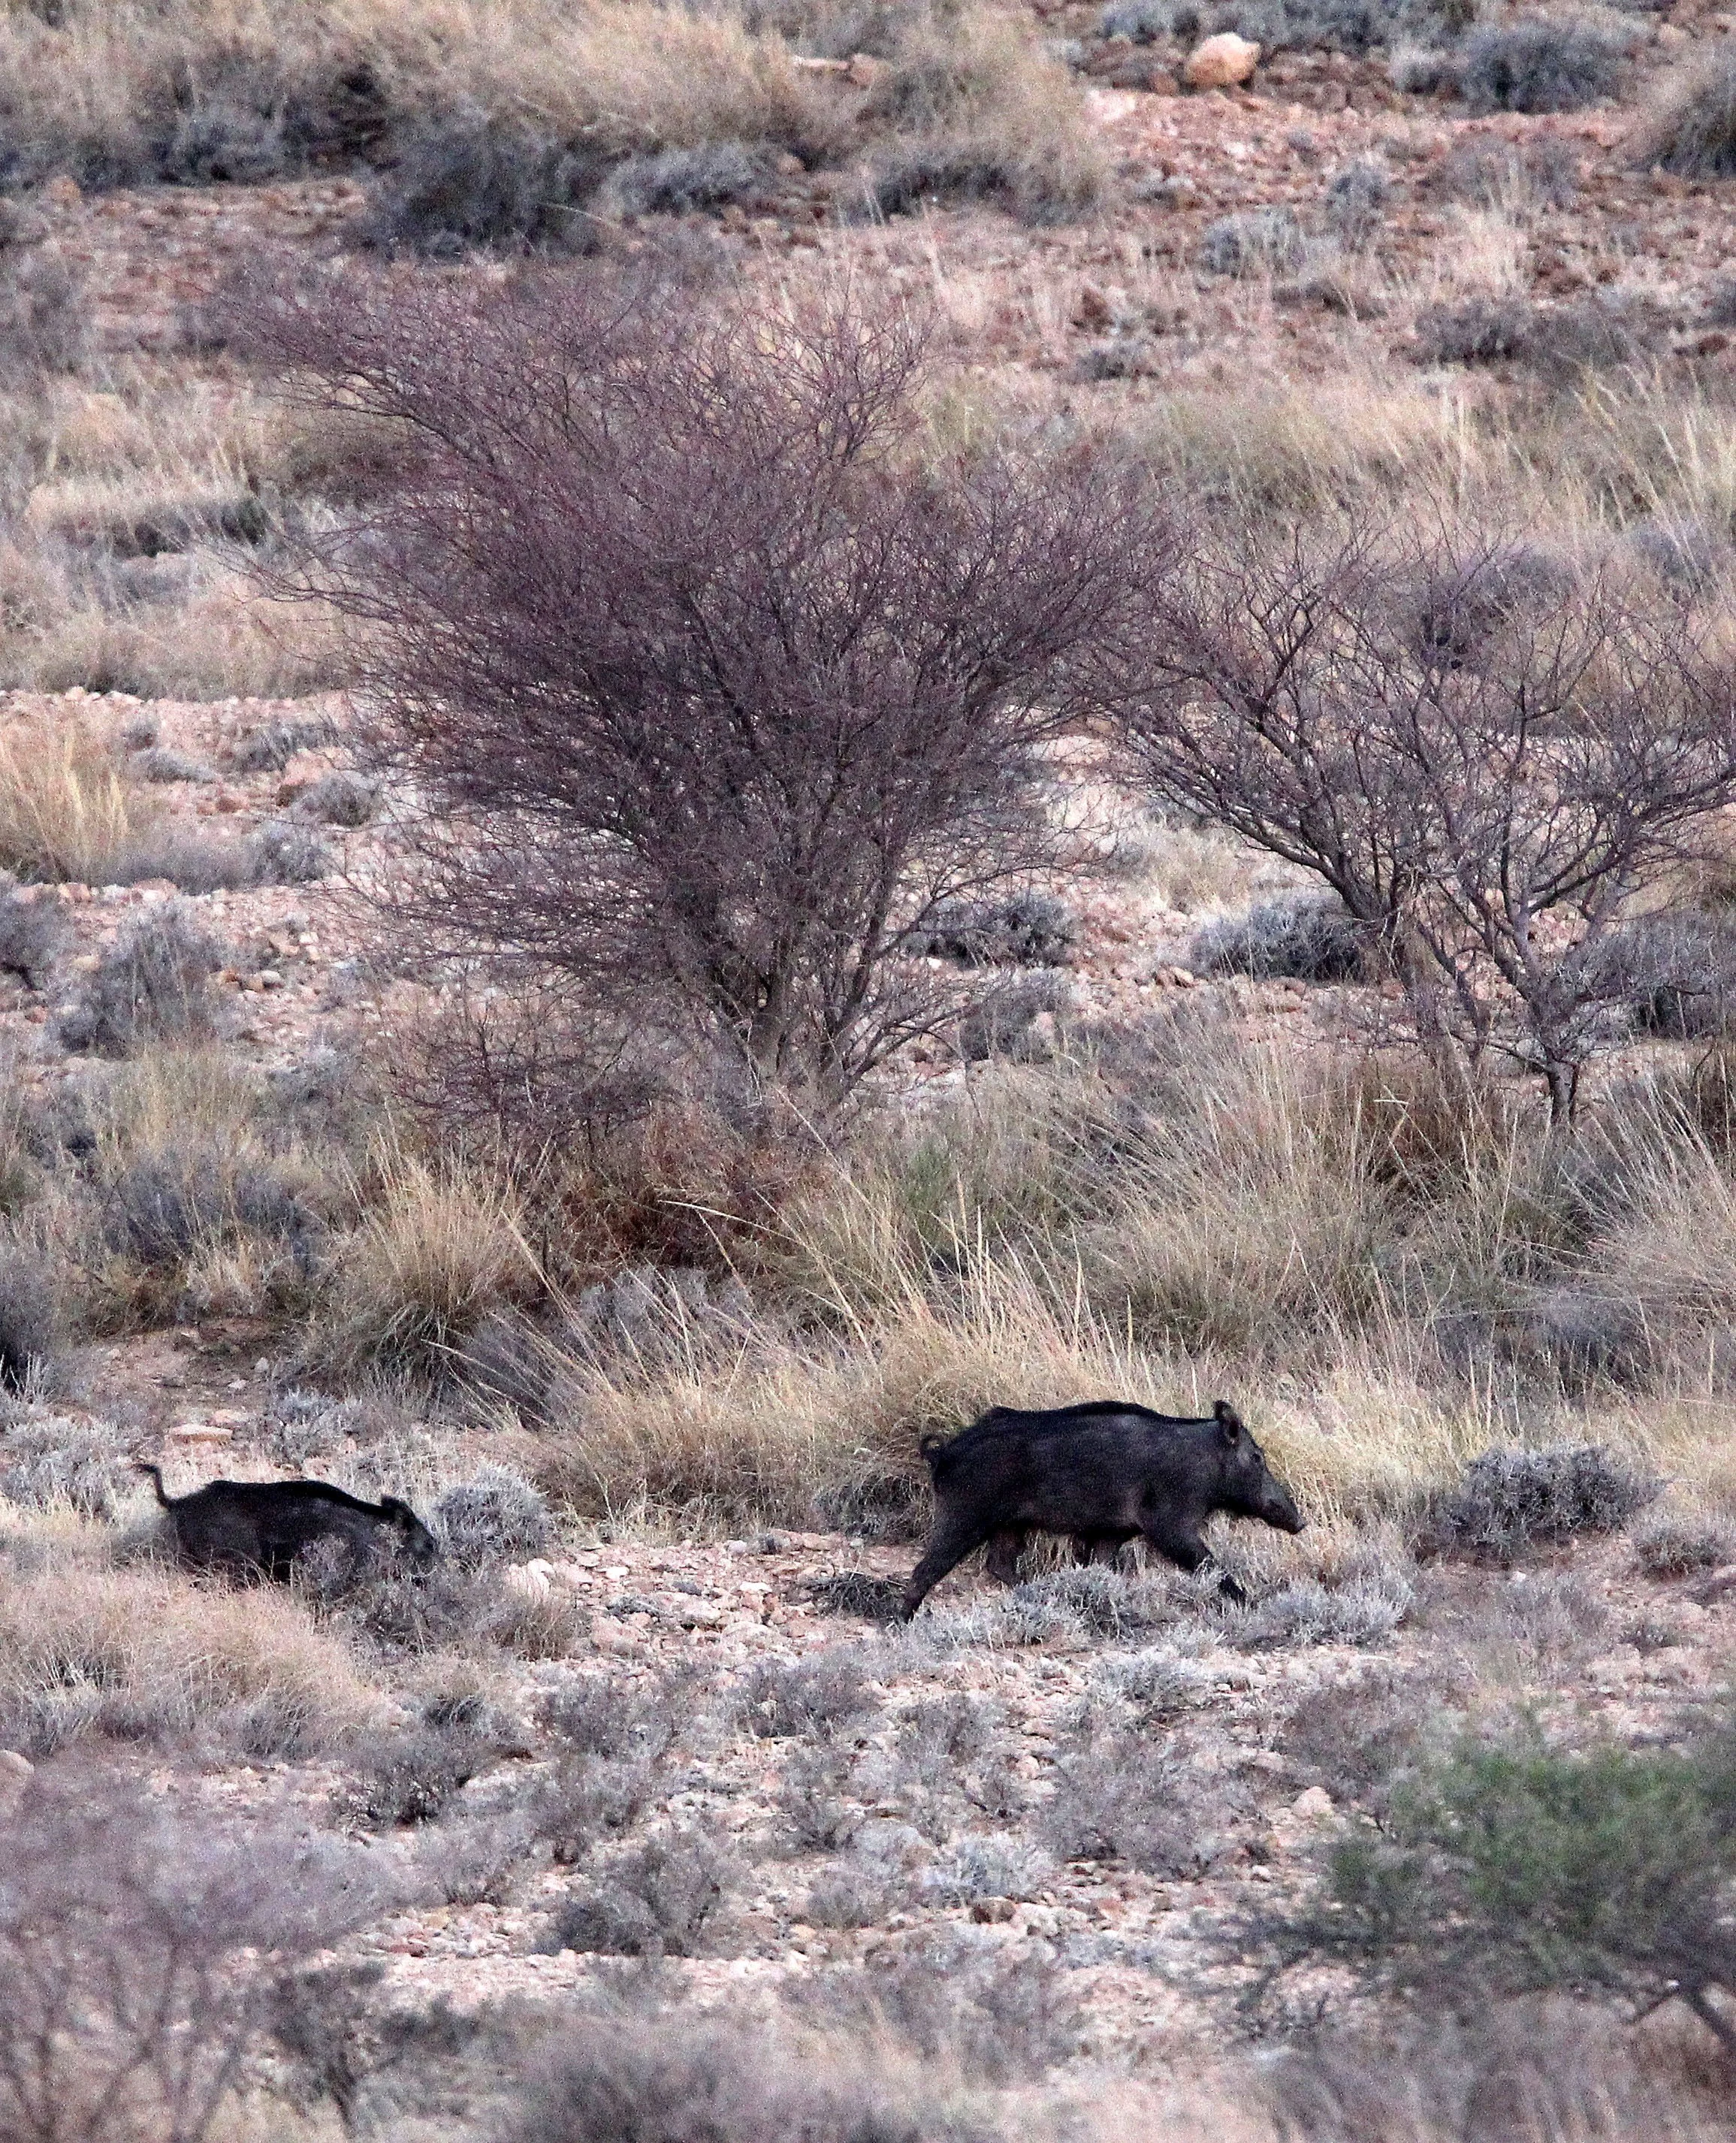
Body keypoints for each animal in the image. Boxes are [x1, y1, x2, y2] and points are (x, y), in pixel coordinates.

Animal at [904, 1398, 1303, 1617]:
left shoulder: (1112, 1532)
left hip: (1009, 1526)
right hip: (964, 1516)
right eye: (1256, 1458)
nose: (1299, 1522)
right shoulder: (1169, 1523)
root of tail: (941, 1454)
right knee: (924, 1570)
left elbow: (1102, 1568)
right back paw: (902, 1624)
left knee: (999, 1565)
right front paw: (1252, 1605)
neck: (1203, 1464)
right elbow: (1210, 1566)